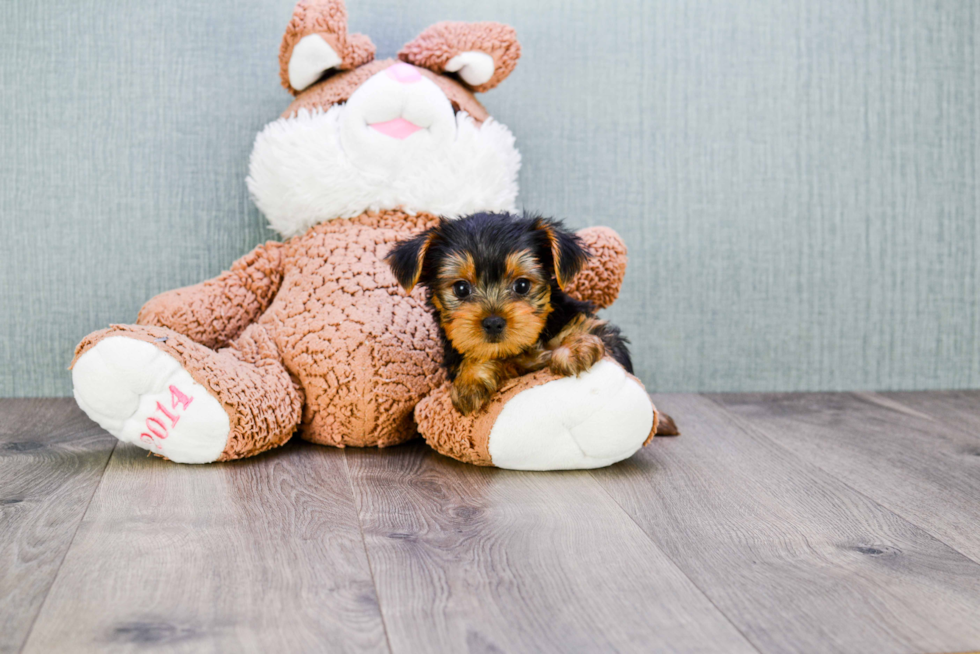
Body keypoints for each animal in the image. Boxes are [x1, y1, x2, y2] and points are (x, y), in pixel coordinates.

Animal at [388, 213, 636, 418]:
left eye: (522, 285)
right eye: (461, 288)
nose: (493, 322)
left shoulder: (599, 332)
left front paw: (574, 348)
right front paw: (469, 380)